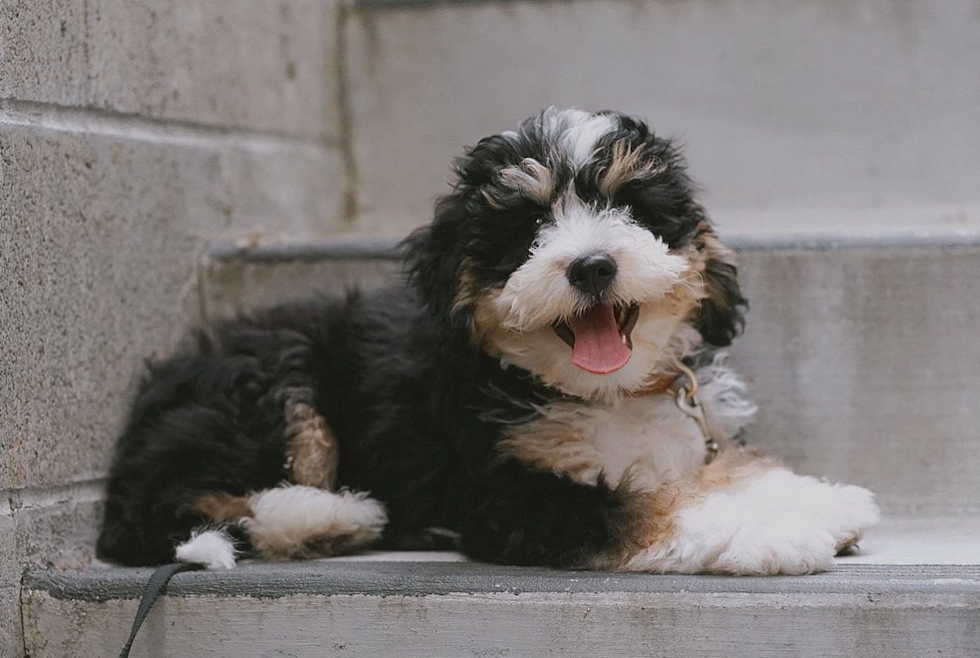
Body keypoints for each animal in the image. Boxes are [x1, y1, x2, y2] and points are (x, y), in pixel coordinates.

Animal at [97, 109, 880, 576]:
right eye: (527, 228)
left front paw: (813, 498)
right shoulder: (506, 494)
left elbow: (716, 467)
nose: (592, 265)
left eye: (628, 207)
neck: (602, 391)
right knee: (184, 500)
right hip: (270, 382)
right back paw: (332, 517)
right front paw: (771, 533)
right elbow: (642, 504)